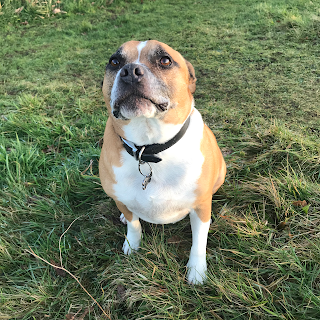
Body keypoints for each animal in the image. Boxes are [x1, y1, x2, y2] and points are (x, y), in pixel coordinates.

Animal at [99, 39, 226, 282]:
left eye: (165, 60)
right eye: (115, 61)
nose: (130, 72)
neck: (149, 149)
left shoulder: (201, 206)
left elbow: (199, 241)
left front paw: (197, 270)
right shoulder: (123, 200)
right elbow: (134, 224)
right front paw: (132, 244)